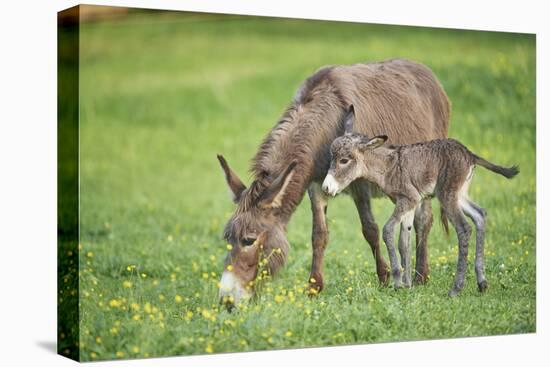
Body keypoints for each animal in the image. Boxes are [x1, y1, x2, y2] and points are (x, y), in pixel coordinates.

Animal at [322, 109, 520, 296]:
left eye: (344, 160)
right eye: (331, 158)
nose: (326, 188)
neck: (388, 166)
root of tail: (469, 153)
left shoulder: (409, 199)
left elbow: (388, 230)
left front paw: (397, 280)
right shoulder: (409, 204)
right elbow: (404, 240)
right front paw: (407, 284)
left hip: (447, 195)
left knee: (464, 228)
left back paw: (456, 289)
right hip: (459, 195)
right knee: (480, 215)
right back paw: (482, 283)